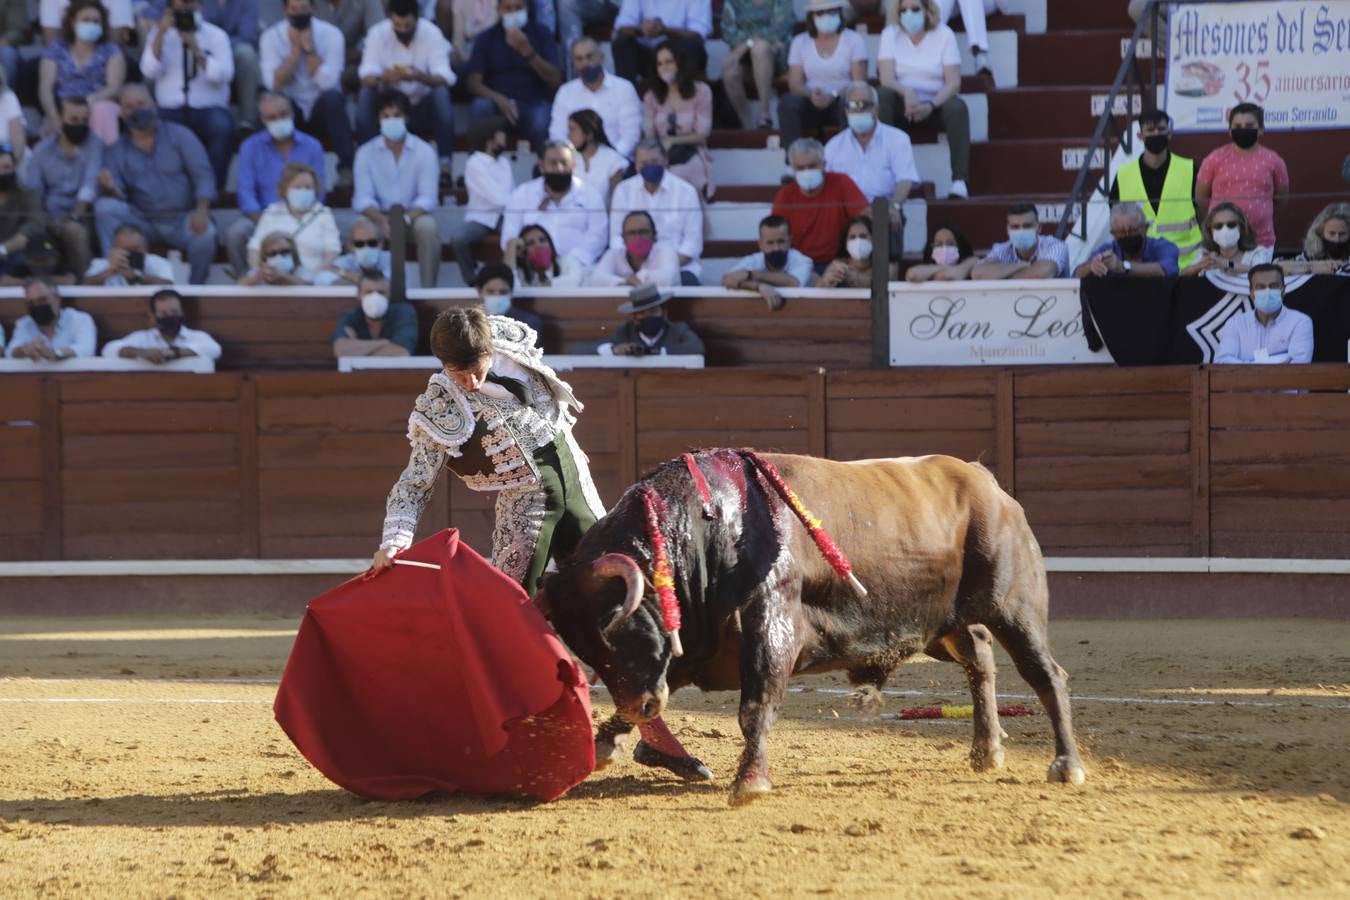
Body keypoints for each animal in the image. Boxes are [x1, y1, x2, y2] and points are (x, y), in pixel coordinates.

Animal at [537, 450, 1085, 809]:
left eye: (617, 627)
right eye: (585, 648)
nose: (640, 706)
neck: (705, 531)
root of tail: (985, 482)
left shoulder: (771, 627)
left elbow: (755, 706)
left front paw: (749, 783)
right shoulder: (690, 646)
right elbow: (663, 684)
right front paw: (605, 741)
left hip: (1014, 609)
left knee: (1045, 674)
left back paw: (1067, 766)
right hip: (938, 625)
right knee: (980, 656)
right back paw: (986, 752)